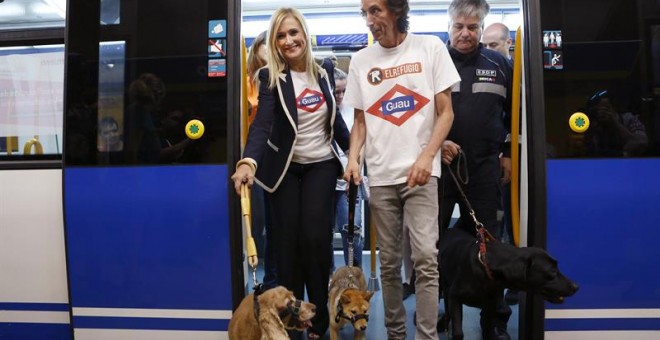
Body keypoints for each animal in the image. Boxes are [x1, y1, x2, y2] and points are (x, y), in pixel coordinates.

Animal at [438, 224, 576, 338]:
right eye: (552, 272)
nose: (576, 286)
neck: (486, 267)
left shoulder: (490, 306)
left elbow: (488, 326)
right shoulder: (455, 298)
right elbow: (458, 331)